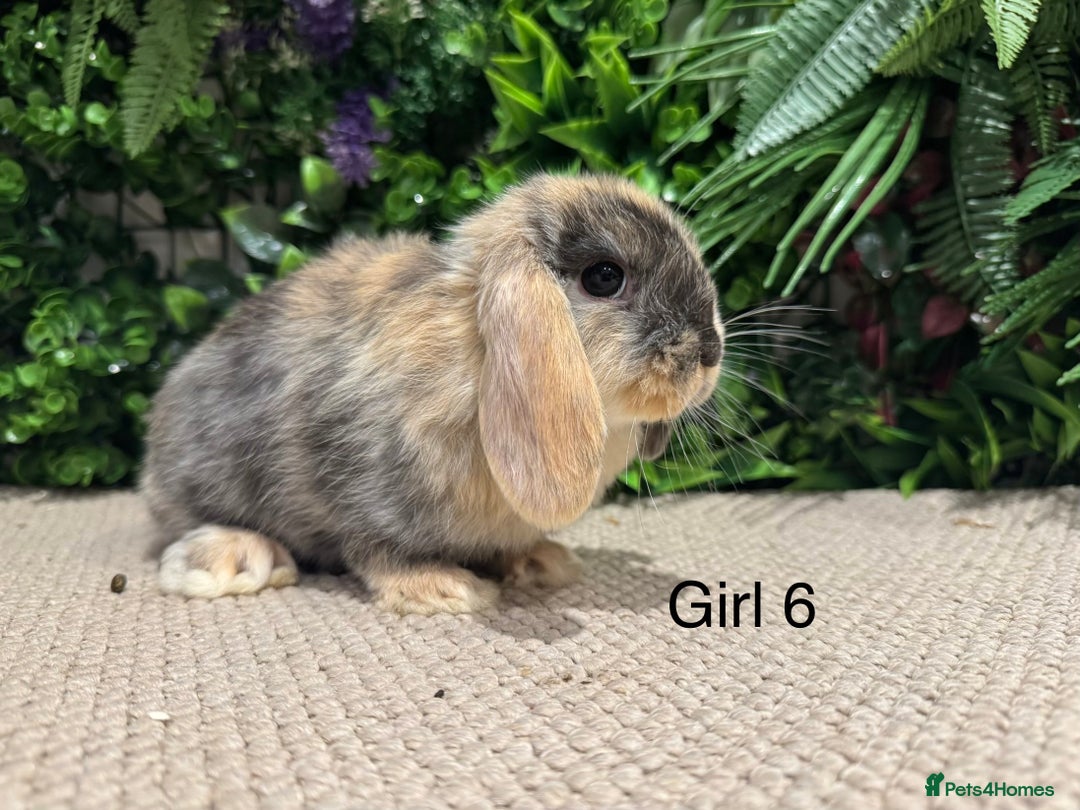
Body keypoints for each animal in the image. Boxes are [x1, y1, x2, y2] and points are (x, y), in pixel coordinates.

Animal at [140, 173, 724, 614]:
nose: (710, 353)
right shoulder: (359, 484)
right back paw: (231, 558)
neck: (473, 354)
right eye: (604, 277)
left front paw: (542, 563)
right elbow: (377, 549)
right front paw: (446, 589)